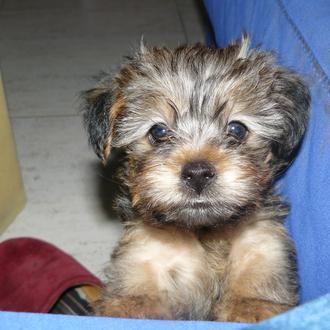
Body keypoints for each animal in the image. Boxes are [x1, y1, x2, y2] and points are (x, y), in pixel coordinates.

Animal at [82, 36, 310, 322]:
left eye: (237, 129)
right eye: (158, 131)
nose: (198, 173)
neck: (203, 231)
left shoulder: (263, 243)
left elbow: (257, 282)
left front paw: (250, 308)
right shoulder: (144, 254)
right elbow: (134, 300)